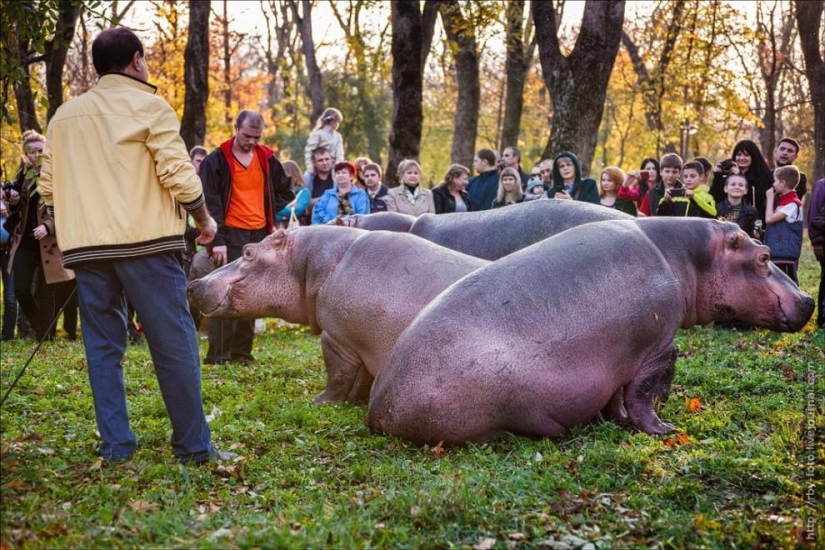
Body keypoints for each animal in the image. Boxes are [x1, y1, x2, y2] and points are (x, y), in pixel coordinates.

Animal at [188, 226, 488, 403]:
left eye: (249, 252)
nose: (194, 283)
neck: (308, 262)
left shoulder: (338, 339)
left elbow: (339, 376)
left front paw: (319, 401)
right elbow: (359, 381)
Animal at [367, 219, 815, 446]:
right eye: (764, 256)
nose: (809, 299)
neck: (687, 256)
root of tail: (379, 408)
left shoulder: (622, 357)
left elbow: (620, 396)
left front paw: (618, 420)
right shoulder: (656, 347)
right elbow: (644, 394)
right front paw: (664, 430)